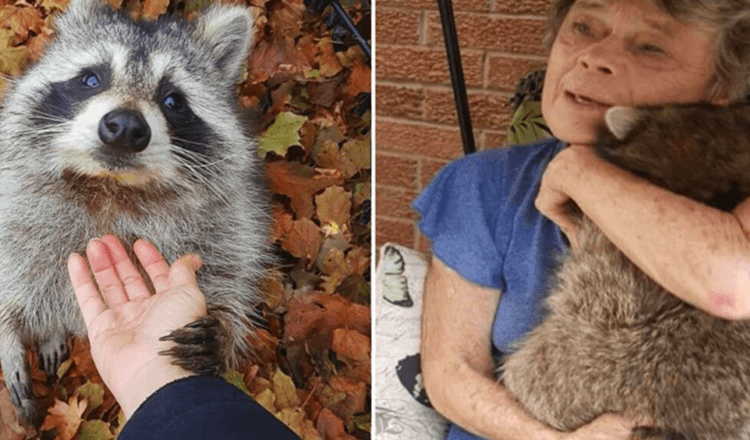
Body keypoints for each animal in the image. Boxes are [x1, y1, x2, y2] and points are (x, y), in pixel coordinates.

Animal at [0, 0, 272, 424]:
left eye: (173, 100)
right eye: (91, 79)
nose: (125, 127)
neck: (112, 189)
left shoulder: (231, 222)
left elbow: (230, 274)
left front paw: (224, 328)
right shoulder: (15, 205)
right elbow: (12, 275)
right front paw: (9, 332)